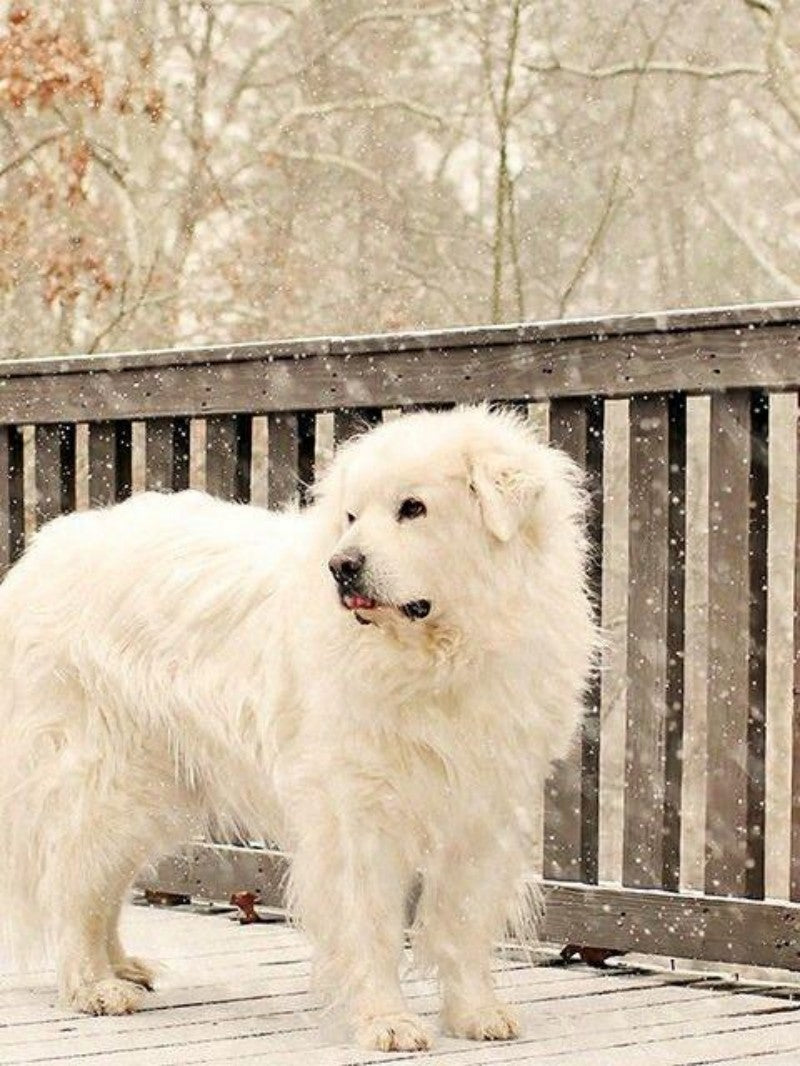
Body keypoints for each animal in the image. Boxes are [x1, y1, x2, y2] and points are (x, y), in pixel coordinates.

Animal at [0, 405, 597, 1048]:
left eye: (413, 508)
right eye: (352, 517)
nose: (342, 566)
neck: (437, 658)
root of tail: (38, 557)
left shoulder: (483, 805)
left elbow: (463, 921)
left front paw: (474, 1013)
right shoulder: (356, 811)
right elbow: (372, 923)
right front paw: (386, 1020)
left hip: (152, 790)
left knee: (102, 883)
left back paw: (122, 967)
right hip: (106, 778)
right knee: (72, 883)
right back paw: (93, 986)